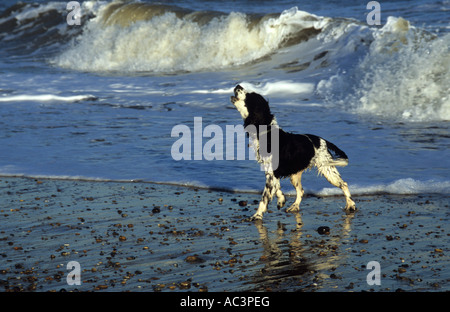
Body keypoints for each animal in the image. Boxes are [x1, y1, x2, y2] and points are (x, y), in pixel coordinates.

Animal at [230, 85, 356, 221]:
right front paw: (281, 200)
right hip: (296, 174)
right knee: (301, 191)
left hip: (327, 169)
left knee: (343, 184)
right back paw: (294, 206)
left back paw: (351, 205)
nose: (238, 86)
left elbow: (264, 198)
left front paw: (257, 215)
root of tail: (323, 140)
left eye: (250, 95)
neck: (266, 132)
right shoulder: (272, 173)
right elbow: (276, 188)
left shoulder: (272, 174)